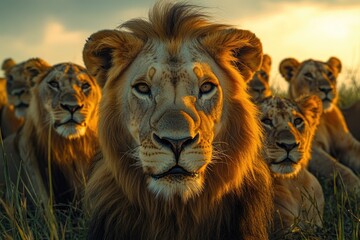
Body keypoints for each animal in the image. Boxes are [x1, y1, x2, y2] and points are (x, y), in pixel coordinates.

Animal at [258, 95, 324, 236]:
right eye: (266, 121)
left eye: (297, 121)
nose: (289, 145)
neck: (292, 184)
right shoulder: (281, 230)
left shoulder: (318, 222)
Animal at [280, 56, 360, 191]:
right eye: (308, 75)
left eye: (330, 74)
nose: (326, 89)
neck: (324, 117)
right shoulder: (312, 150)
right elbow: (338, 168)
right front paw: (356, 186)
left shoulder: (349, 145)